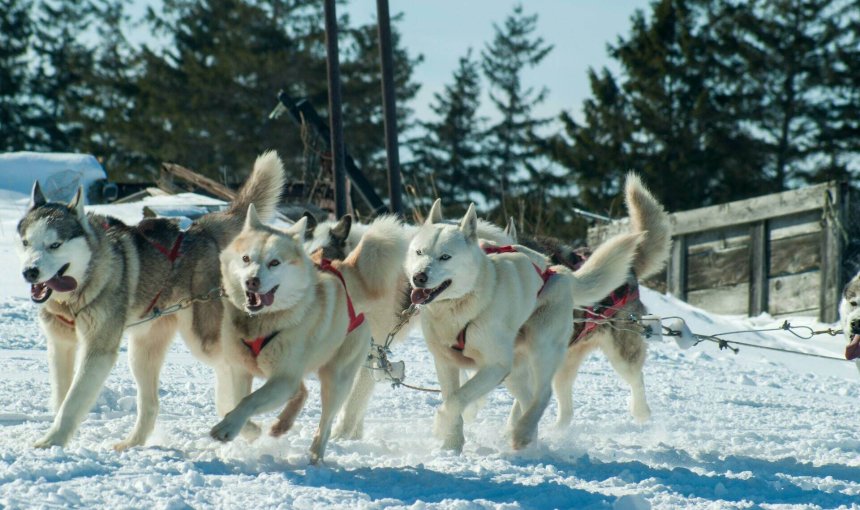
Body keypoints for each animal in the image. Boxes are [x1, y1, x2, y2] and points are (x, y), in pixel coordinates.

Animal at [16, 150, 286, 446]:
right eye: (26, 243)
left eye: (55, 245)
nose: (30, 272)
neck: (78, 290)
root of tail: (202, 229)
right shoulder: (60, 345)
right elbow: (61, 398)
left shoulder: (98, 350)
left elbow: (72, 401)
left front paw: (51, 442)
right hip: (142, 351)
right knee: (151, 404)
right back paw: (132, 443)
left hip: (203, 338)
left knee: (231, 366)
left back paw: (244, 423)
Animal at [213, 205, 372, 464]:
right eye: (246, 258)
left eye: (274, 262)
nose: (251, 281)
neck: (262, 321)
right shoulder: (240, 369)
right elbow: (236, 400)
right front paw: (248, 429)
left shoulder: (284, 378)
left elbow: (250, 400)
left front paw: (228, 427)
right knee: (302, 391)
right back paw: (282, 424)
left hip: (336, 379)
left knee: (325, 424)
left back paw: (315, 457)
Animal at [404, 200, 640, 450]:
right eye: (419, 252)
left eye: (445, 256)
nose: (419, 277)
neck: (460, 308)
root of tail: (557, 272)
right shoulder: (445, 362)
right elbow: (452, 399)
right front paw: (451, 444)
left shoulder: (496, 365)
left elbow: (456, 400)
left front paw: (441, 426)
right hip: (515, 371)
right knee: (528, 398)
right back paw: (527, 436)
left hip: (541, 348)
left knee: (543, 393)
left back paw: (523, 433)